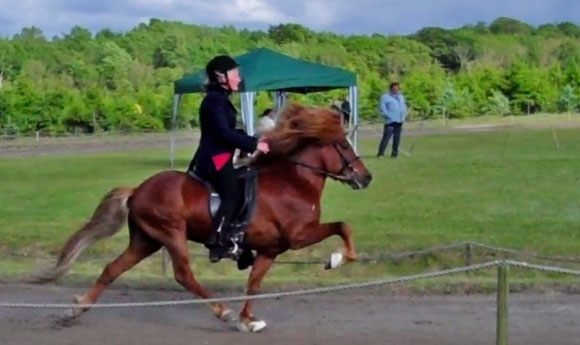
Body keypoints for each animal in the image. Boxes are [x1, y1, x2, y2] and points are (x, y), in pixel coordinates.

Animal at [23, 101, 372, 332]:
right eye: (343, 146)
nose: (366, 178)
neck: (293, 181)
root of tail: (137, 190)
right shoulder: (299, 236)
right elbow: (342, 226)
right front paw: (337, 259)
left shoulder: (270, 249)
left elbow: (254, 283)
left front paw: (248, 321)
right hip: (171, 234)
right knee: (184, 275)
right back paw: (221, 311)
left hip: (146, 240)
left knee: (112, 269)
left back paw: (75, 310)